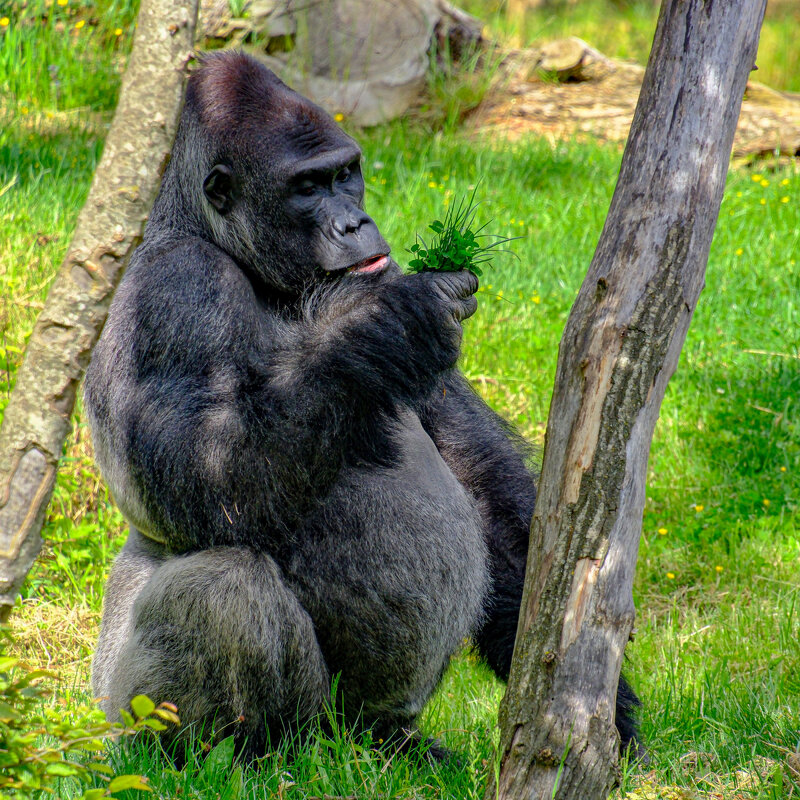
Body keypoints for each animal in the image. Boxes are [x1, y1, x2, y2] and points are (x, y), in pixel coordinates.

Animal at [84, 51, 640, 764]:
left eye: (346, 174)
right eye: (307, 188)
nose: (353, 223)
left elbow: (489, 496)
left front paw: (597, 708)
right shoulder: (172, 287)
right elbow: (197, 480)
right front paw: (390, 326)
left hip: (366, 728)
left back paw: (397, 745)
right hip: (131, 718)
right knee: (220, 593)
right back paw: (234, 761)